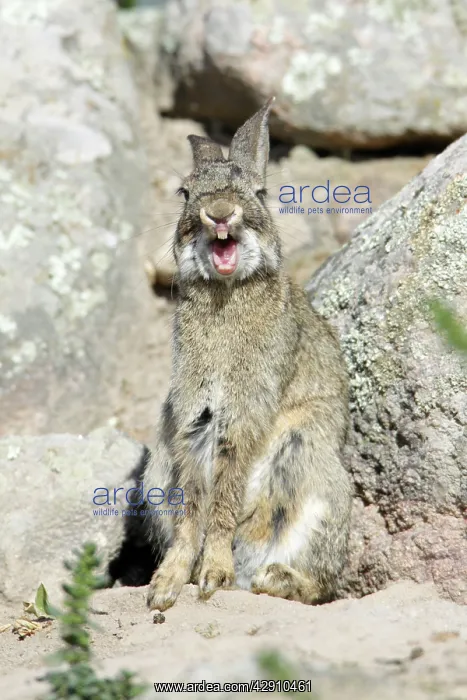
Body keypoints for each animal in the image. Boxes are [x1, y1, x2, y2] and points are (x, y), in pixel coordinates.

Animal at [144, 98, 352, 612]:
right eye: (185, 193)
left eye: (259, 192)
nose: (219, 213)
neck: (227, 293)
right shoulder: (193, 414)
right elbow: (194, 502)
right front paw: (167, 585)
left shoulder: (246, 406)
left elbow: (224, 492)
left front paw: (212, 575)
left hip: (314, 474)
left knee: (319, 583)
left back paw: (273, 579)